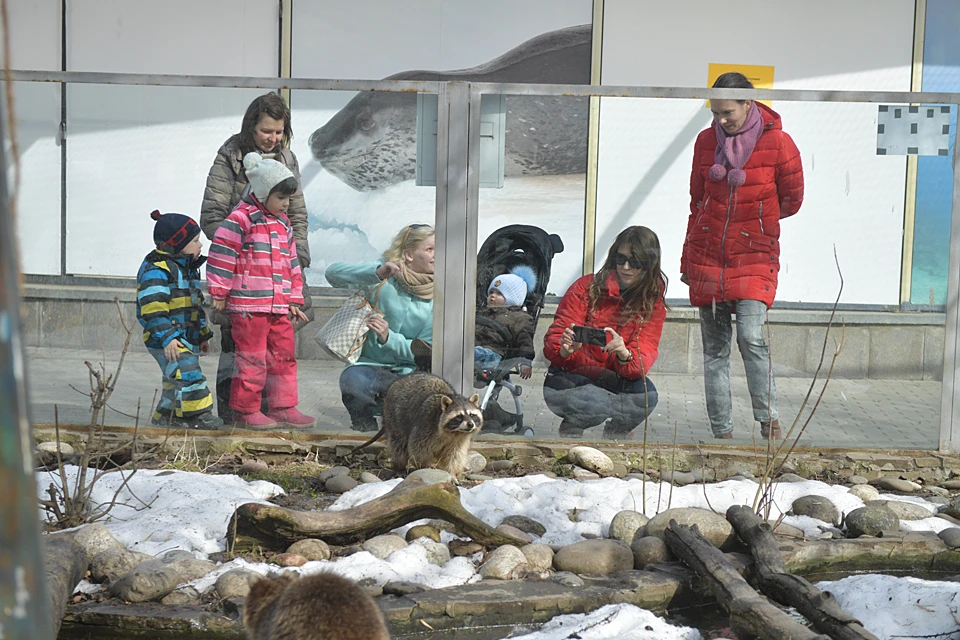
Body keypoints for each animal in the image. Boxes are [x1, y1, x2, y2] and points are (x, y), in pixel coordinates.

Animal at [350, 370, 484, 476]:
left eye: (472, 415)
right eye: (459, 417)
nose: (470, 424)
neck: (454, 432)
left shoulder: (459, 440)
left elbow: (454, 456)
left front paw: (451, 472)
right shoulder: (425, 425)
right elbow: (418, 449)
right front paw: (425, 465)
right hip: (394, 417)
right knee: (399, 444)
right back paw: (400, 466)